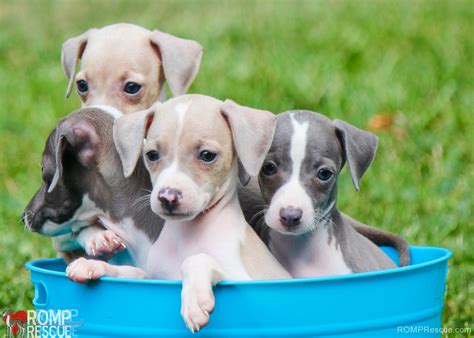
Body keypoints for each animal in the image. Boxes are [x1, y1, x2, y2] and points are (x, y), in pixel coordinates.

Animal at [66, 95, 288, 332]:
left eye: (207, 155)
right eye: (152, 155)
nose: (168, 197)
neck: (186, 236)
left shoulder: (250, 285)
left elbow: (197, 259)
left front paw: (194, 301)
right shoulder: (154, 278)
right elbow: (132, 272)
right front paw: (93, 265)